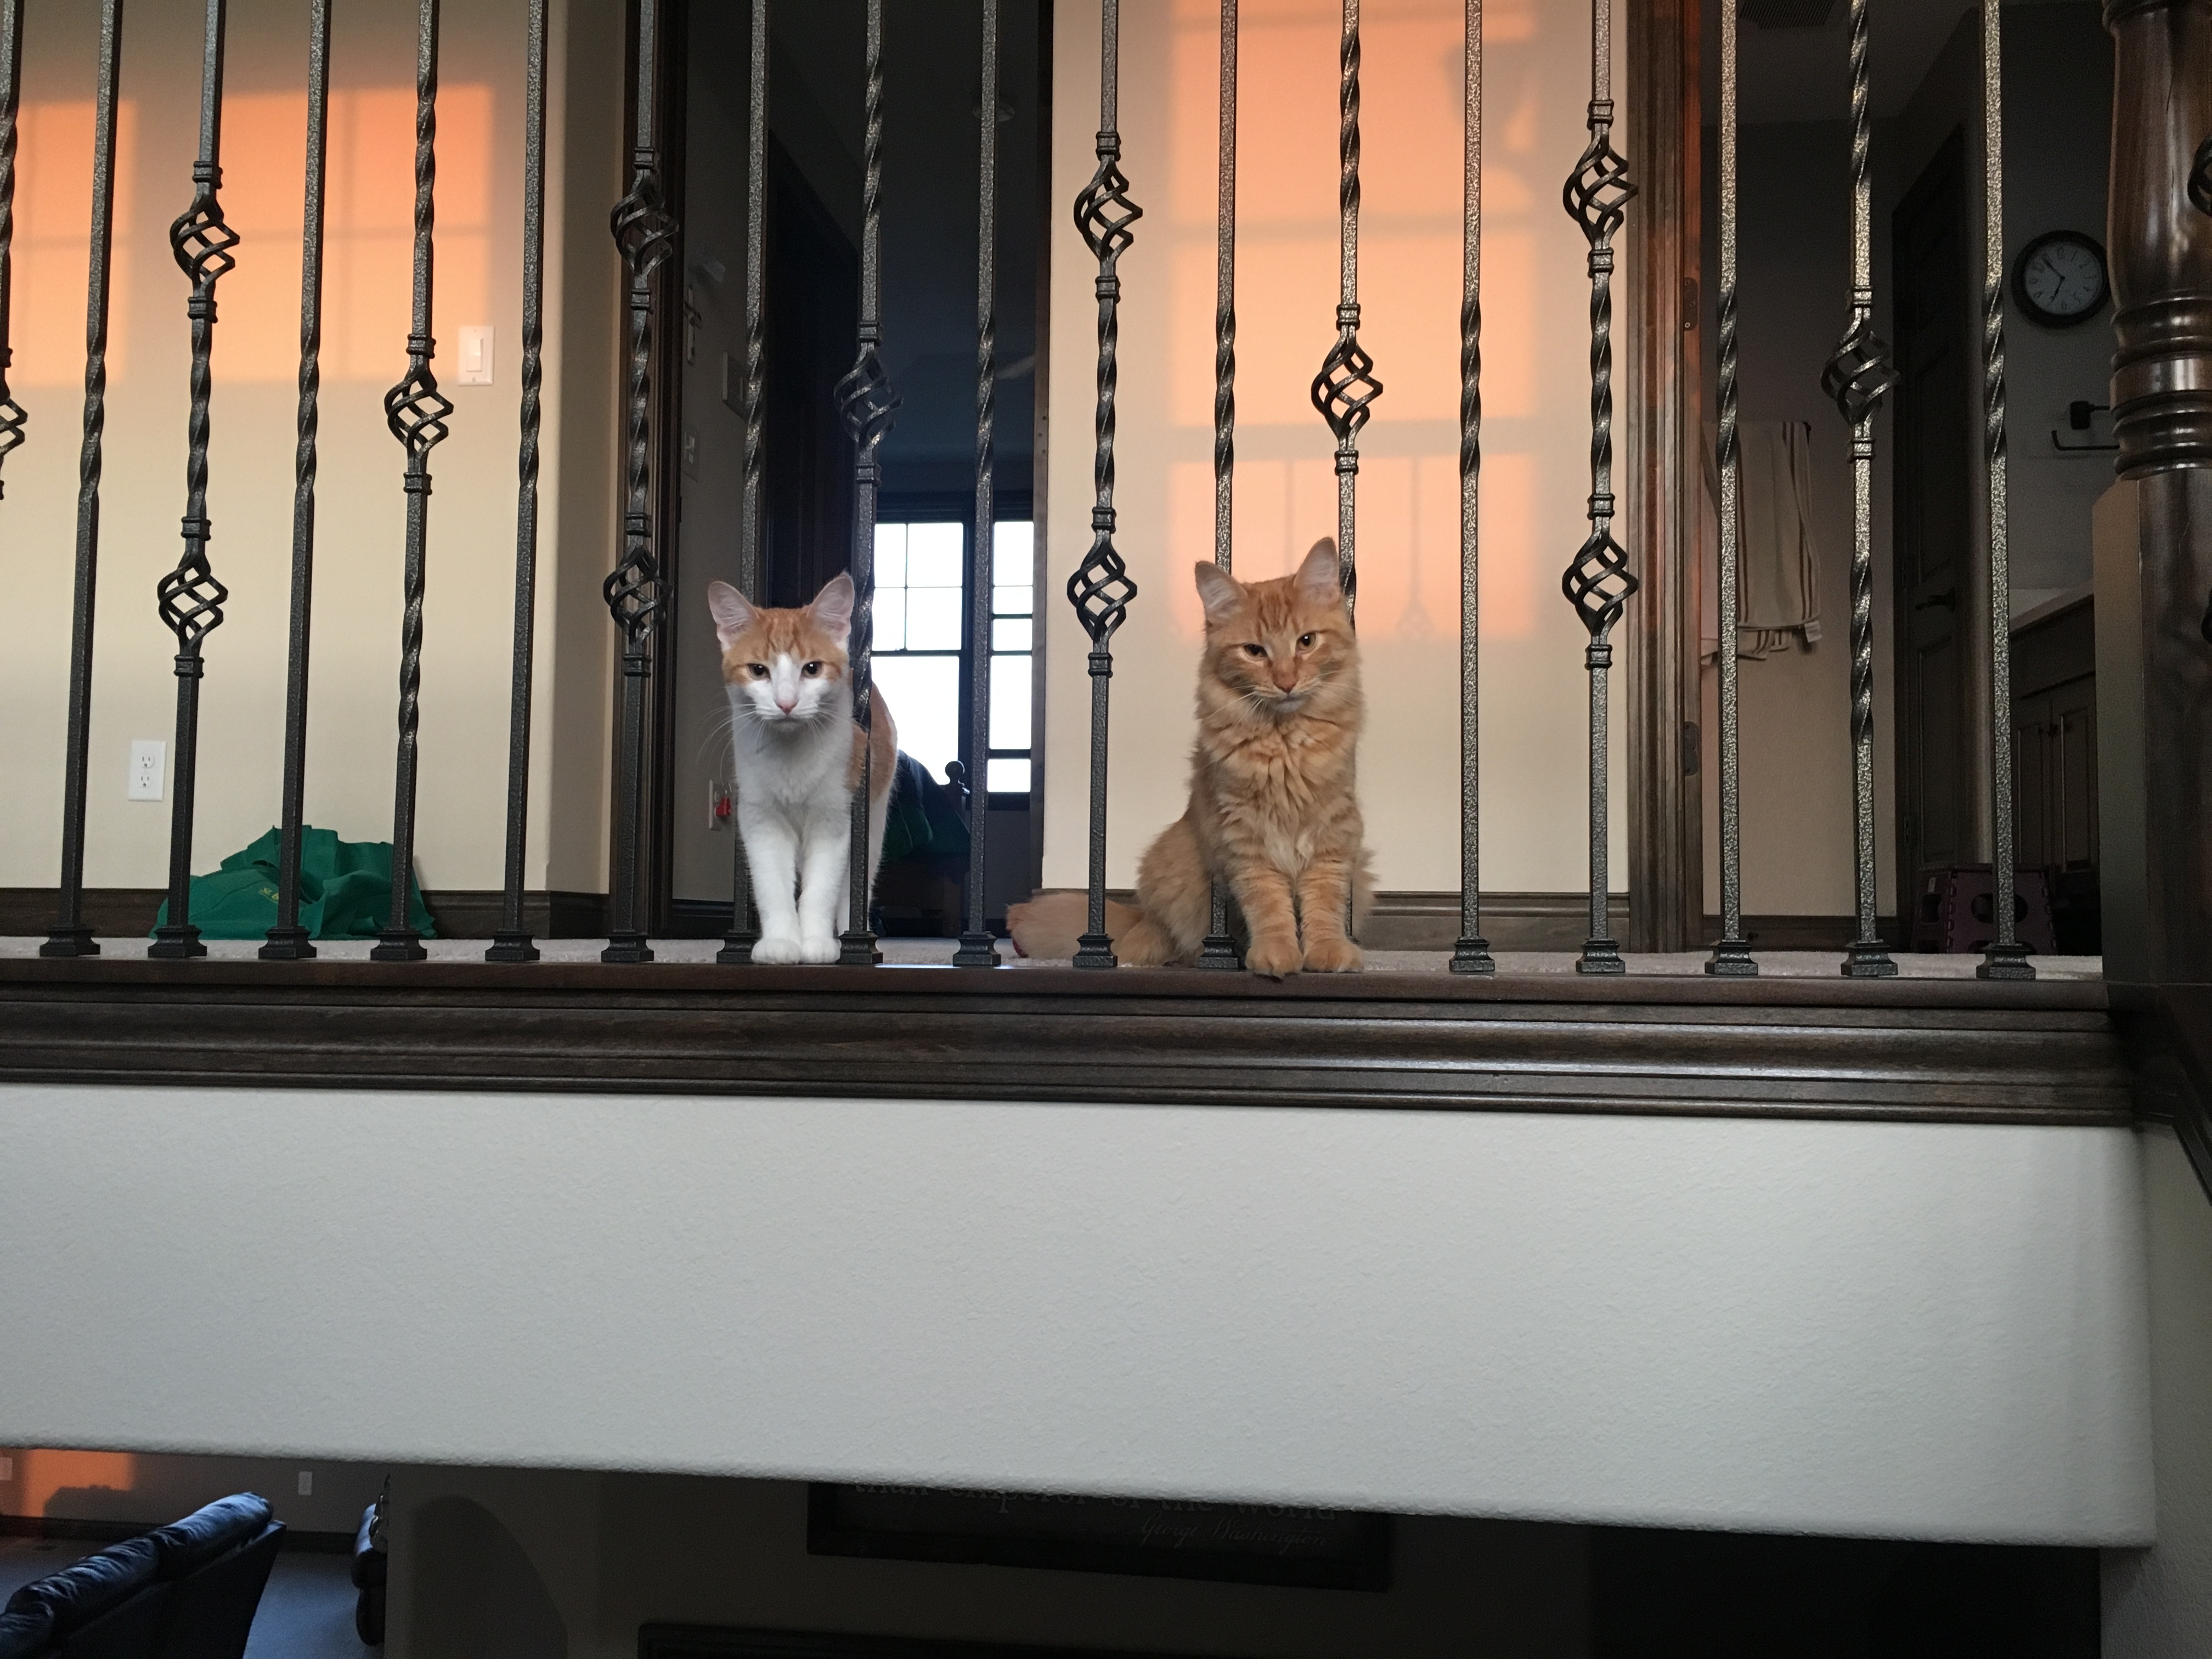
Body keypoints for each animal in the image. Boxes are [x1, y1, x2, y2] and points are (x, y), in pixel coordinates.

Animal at [707, 573, 897, 964]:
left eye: (812, 669)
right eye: (758, 671)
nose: (786, 703)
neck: (791, 754)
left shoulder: (834, 819)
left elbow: (821, 888)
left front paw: (816, 942)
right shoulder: (761, 819)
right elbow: (772, 886)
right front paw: (781, 941)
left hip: (873, 820)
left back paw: (852, 937)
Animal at [1010, 538, 1371, 976]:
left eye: (1307, 642)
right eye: (1254, 651)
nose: (1286, 682)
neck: (1283, 743)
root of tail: (1141, 917)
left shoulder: (1334, 833)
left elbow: (1325, 903)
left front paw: (1328, 952)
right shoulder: (1244, 840)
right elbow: (1269, 906)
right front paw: (1276, 954)